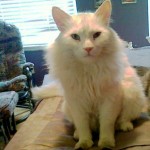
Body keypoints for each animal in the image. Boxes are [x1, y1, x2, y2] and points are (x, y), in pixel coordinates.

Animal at [31, 0, 146, 149]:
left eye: (96, 35)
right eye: (75, 37)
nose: (88, 48)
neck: (89, 70)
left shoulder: (109, 101)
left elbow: (106, 125)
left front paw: (106, 143)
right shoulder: (77, 103)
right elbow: (83, 126)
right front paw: (84, 143)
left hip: (133, 96)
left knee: (124, 119)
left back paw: (125, 126)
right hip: (67, 107)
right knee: (79, 126)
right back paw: (76, 135)